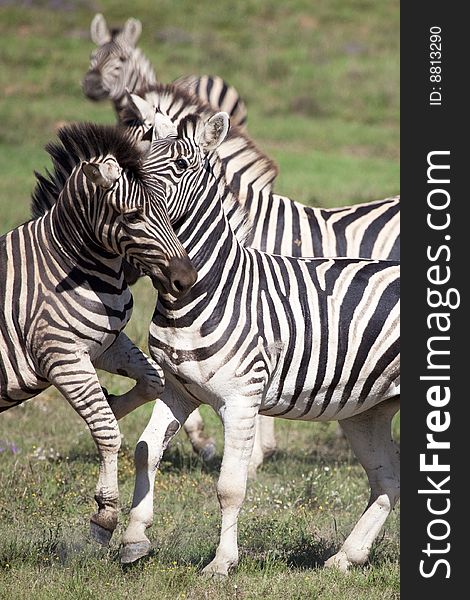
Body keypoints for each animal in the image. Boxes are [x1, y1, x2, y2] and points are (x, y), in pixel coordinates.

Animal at [0, 120, 196, 544]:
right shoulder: (62, 356)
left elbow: (152, 381)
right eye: (133, 216)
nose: (186, 280)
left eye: (166, 209)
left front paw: (113, 401)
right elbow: (106, 429)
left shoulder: (107, 344)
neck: (69, 263)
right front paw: (105, 515)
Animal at [117, 113, 400, 576]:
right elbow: (145, 451)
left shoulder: (241, 400)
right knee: (387, 479)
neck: (201, 293)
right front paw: (134, 539)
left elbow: (230, 486)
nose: (128, 212)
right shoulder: (177, 390)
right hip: (367, 411)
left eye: (179, 167)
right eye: (137, 164)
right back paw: (346, 556)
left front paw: (221, 563)